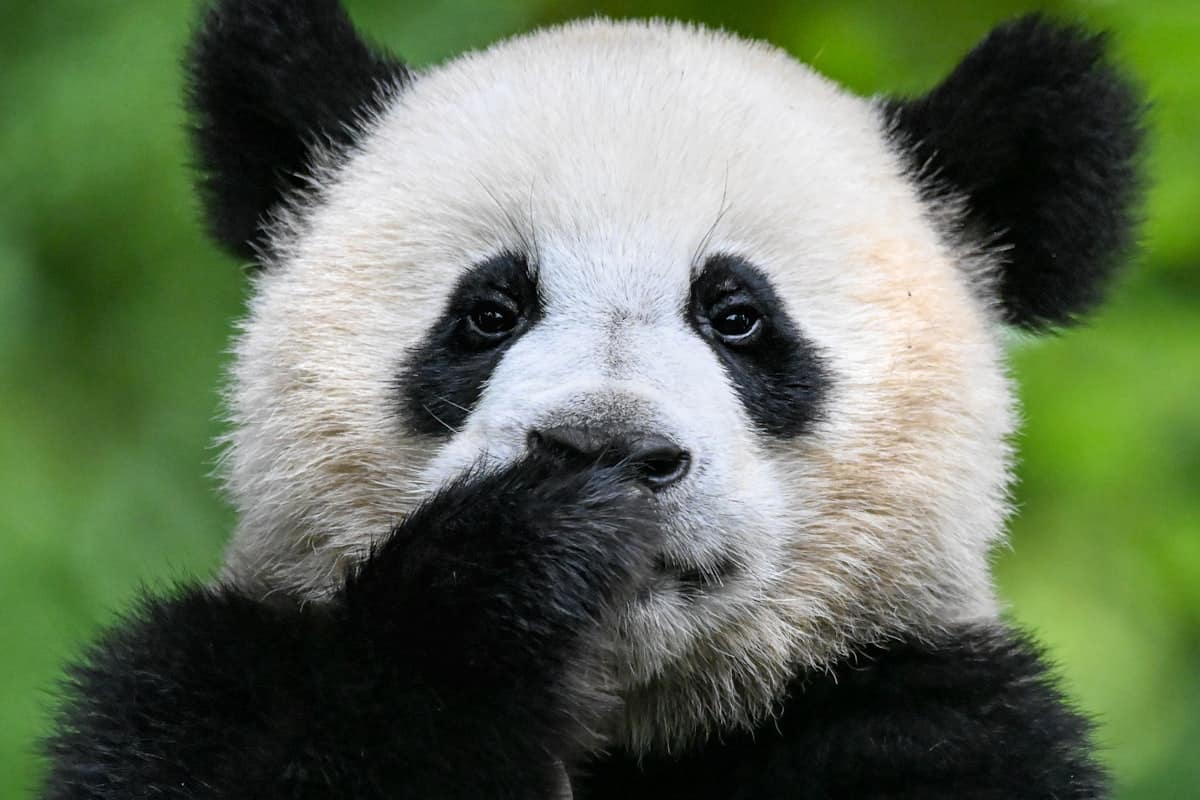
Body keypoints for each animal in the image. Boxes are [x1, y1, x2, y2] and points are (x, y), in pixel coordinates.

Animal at [43, 0, 1144, 798]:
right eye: (489, 311)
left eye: (736, 315)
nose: (605, 448)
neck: (626, 714)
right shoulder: (215, 673)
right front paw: (508, 573)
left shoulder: (937, 718)